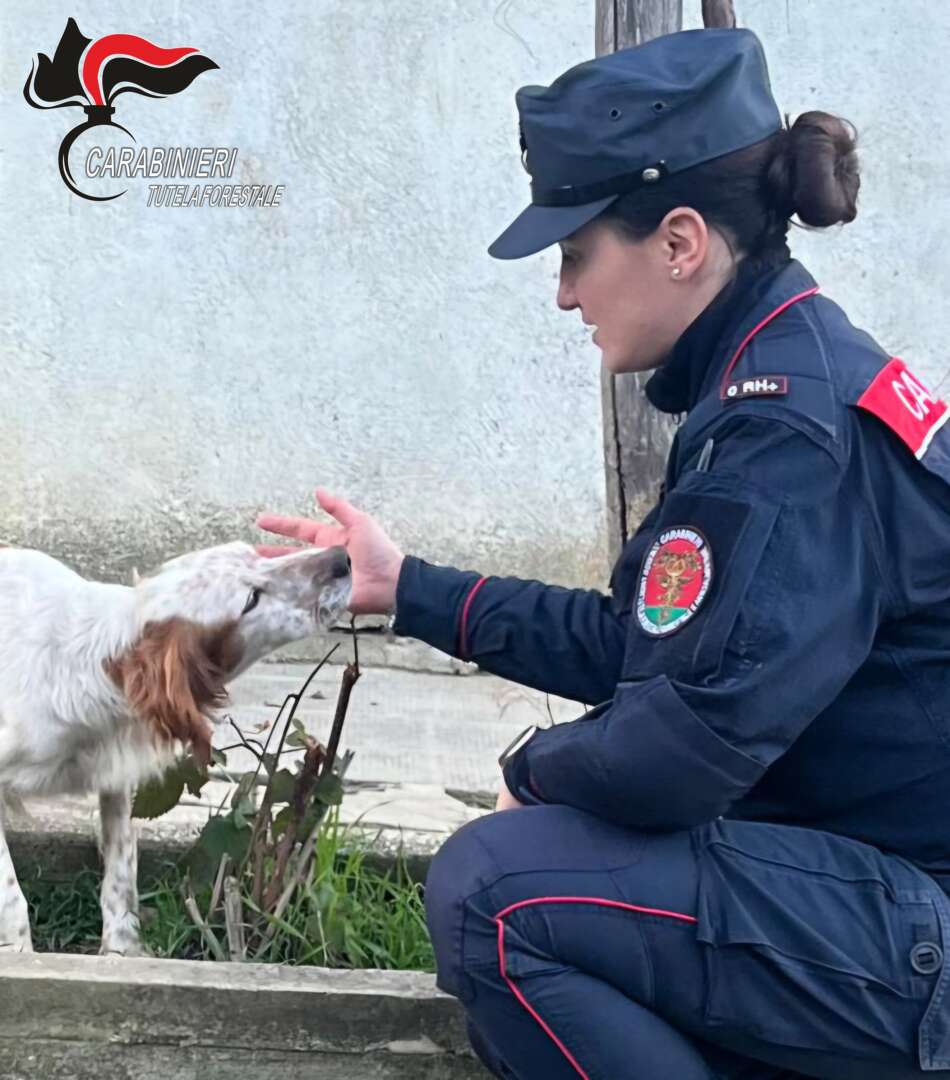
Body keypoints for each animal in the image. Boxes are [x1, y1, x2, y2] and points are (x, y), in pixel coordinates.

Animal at [0, 540, 349, 954]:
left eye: (252, 551)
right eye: (251, 599)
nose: (342, 558)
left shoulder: (116, 772)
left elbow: (121, 874)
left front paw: (122, 949)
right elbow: (11, 895)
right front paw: (21, 952)